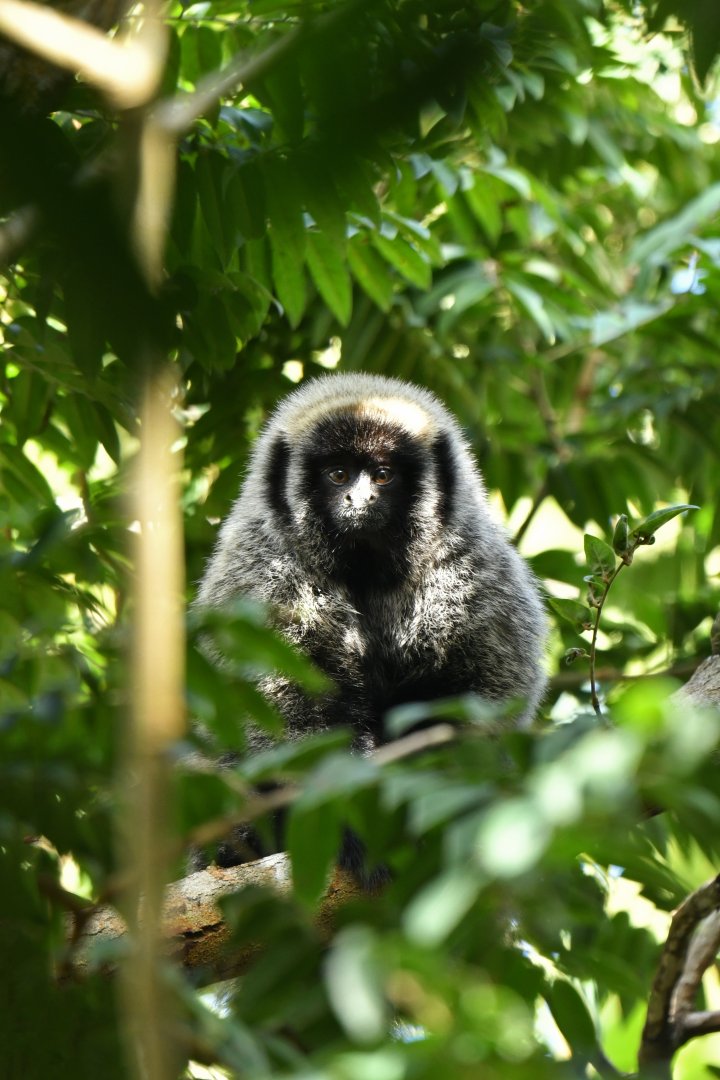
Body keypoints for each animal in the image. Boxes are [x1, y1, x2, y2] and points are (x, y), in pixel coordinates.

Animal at [192, 371, 547, 879]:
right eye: (338, 474)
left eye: (383, 475)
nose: (360, 498)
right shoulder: (261, 574)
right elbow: (282, 706)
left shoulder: (474, 565)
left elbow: (483, 690)